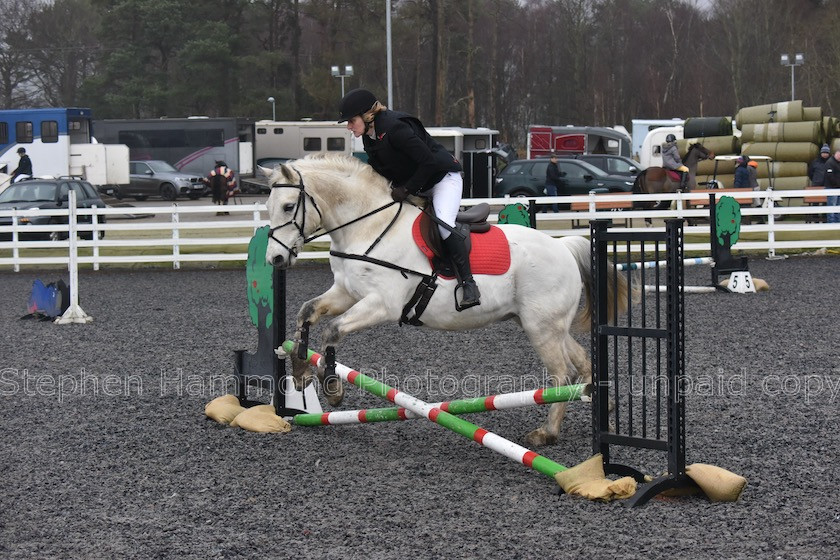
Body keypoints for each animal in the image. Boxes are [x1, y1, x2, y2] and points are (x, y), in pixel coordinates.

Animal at [264, 153, 632, 446]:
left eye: (288, 206)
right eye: (268, 208)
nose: (275, 260)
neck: (369, 228)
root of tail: (564, 245)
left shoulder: (381, 304)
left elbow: (332, 331)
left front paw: (332, 388)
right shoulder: (345, 293)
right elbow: (306, 313)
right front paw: (300, 371)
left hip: (541, 328)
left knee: (561, 374)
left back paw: (547, 433)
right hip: (547, 325)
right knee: (581, 363)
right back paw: (603, 408)